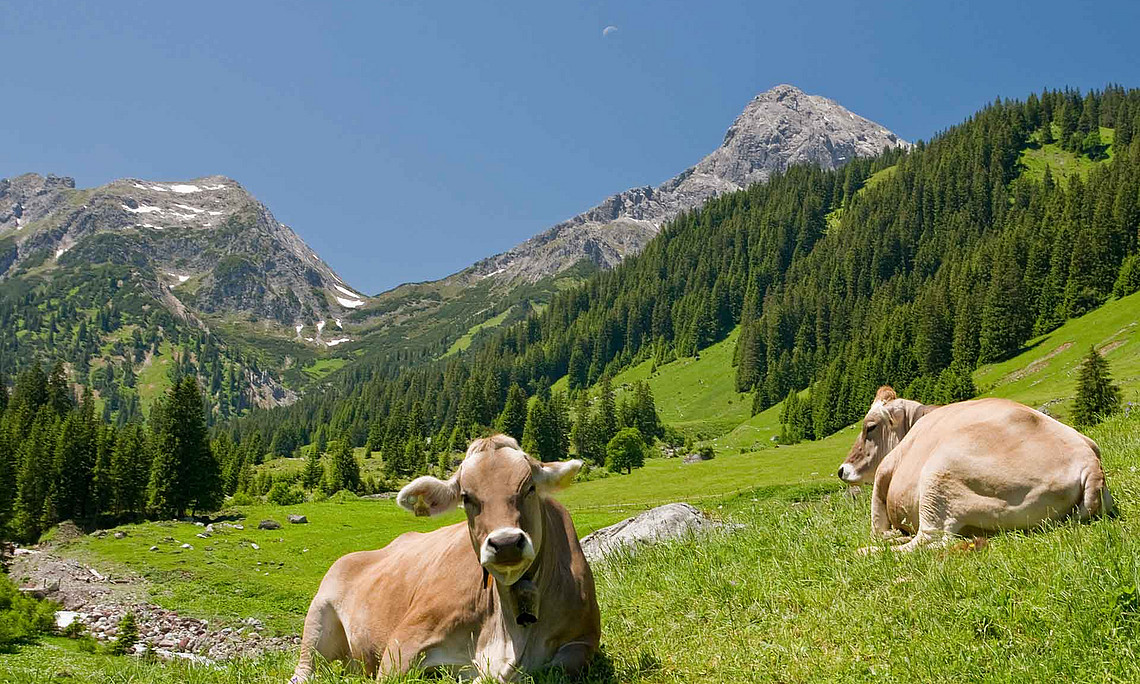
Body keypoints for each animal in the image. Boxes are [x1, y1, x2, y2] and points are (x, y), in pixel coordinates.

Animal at [291, 435, 601, 682]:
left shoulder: (583, 642)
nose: (506, 543)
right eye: (466, 496)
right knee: (305, 669)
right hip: (317, 617)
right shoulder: (402, 644)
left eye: (530, 488)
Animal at [837, 386, 1112, 552]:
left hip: (938, 474)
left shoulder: (884, 472)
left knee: (928, 541)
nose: (842, 469)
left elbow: (876, 525)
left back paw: (870, 551)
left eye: (870, 427)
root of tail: (1090, 463)